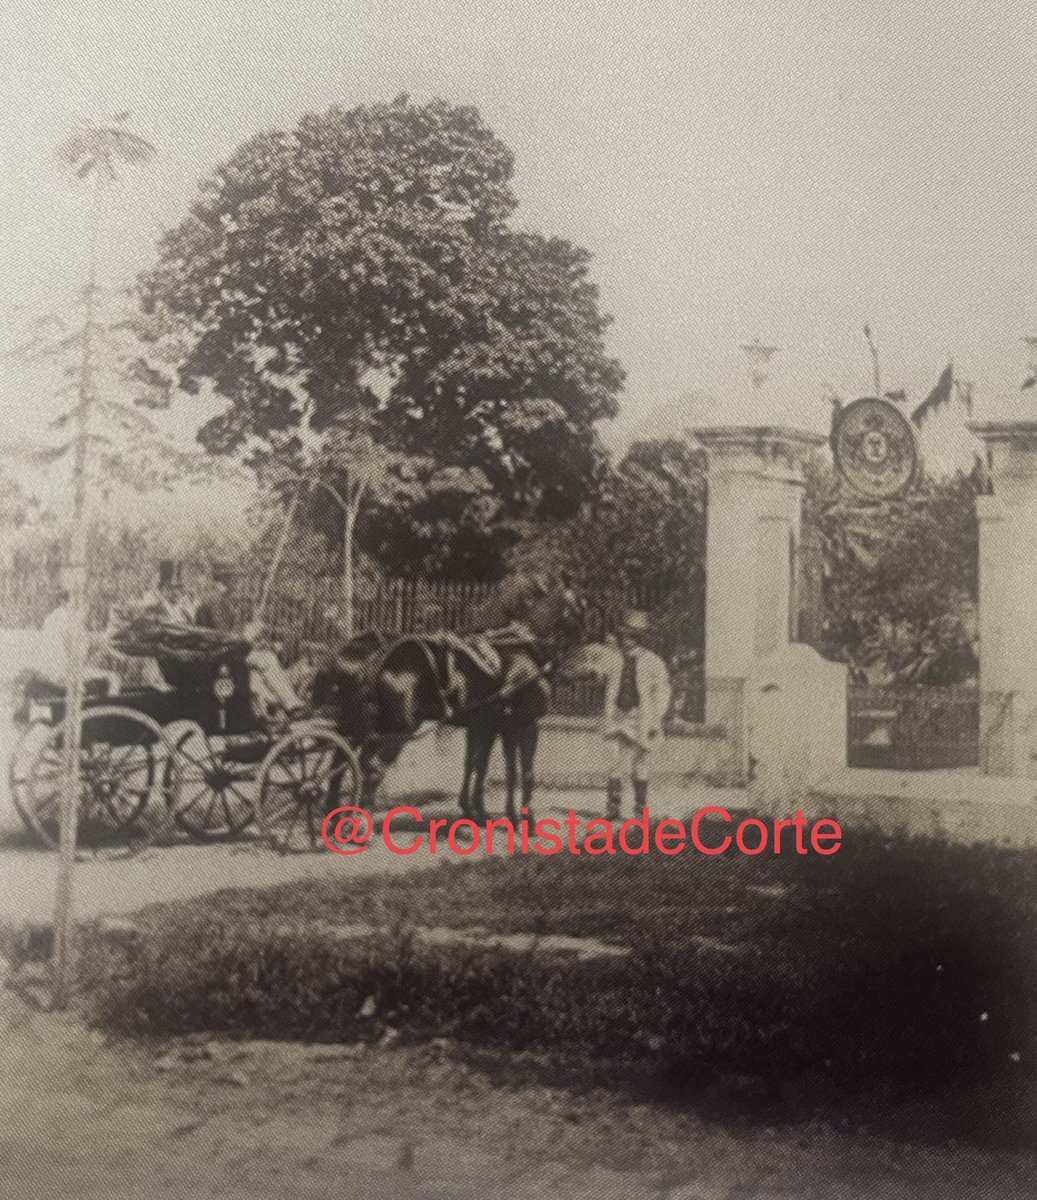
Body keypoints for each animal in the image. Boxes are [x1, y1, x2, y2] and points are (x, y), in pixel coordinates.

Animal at [312, 580, 588, 825]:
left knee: (341, 759)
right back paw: (358, 821)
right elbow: (522, 772)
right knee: (371, 768)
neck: (521, 646)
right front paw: (525, 821)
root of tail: (380, 658)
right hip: (397, 730)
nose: (585, 639)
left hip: (357, 725)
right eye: (581, 605)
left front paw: (480, 812)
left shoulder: (489, 726)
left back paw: (335, 814)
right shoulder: (524, 723)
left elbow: (484, 766)